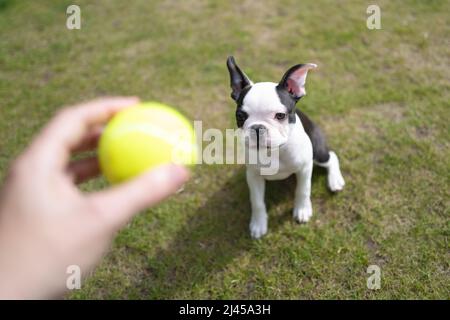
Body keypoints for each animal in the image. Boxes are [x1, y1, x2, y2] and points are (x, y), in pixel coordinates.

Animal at [227, 56, 346, 239]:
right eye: (240, 116)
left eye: (280, 115)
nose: (258, 127)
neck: (275, 151)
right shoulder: (253, 175)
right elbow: (257, 201)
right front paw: (258, 223)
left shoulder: (305, 168)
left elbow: (303, 189)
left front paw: (302, 210)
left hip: (318, 151)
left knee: (331, 156)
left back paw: (335, 180)